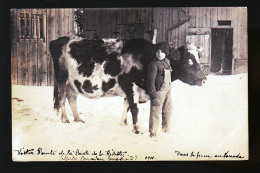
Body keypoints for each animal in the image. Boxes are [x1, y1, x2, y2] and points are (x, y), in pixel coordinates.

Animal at [49, 36, 206, 134]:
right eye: (189, 60)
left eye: (198, 58)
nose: (204, 79)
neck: (145, 58)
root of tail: (63, 39)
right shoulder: (131, 86)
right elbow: (134, 108)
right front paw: (137, 129)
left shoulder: (130, 90)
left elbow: (126, 106)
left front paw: (123, 123)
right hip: (62, 79)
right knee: (61, 99)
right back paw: (65, 119)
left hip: (73, 83)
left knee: (71, 98)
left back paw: (78, 118)